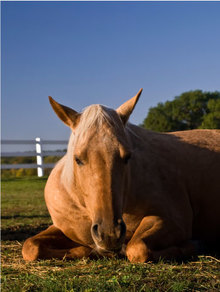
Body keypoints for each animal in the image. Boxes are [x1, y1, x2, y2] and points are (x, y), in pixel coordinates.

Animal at [22, 89, 220, 262]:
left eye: (127, 157)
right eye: (77, 159)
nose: (109, 234)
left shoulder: (174, 221)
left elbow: (137, 248)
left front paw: (193, 245)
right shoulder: (61, 228)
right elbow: (31, 247)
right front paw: (87, 250)